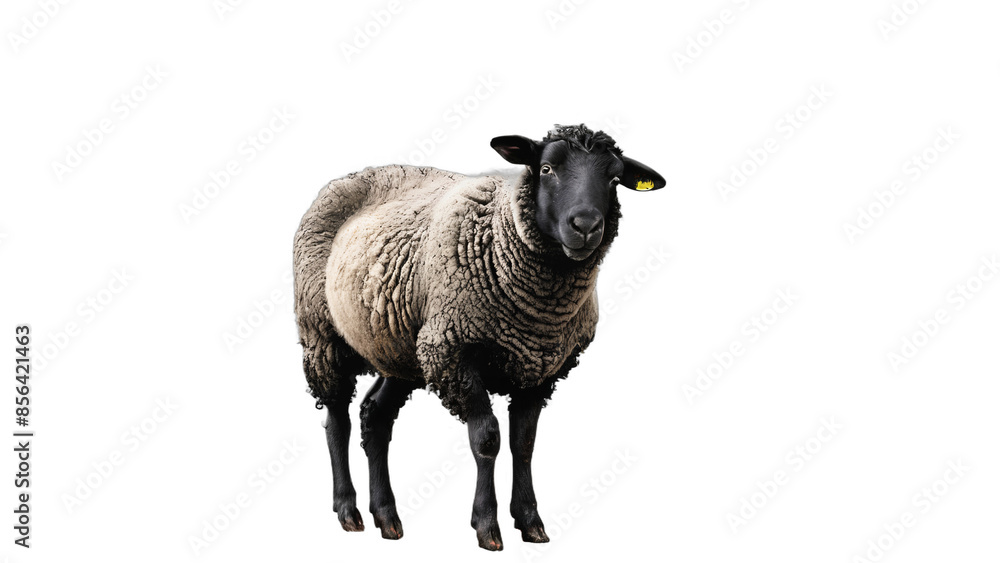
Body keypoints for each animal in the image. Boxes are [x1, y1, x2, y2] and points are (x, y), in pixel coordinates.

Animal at [293, 123, 665, 550]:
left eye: (615, 179)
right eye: (547, 168)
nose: (586, 226)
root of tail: (352, 175)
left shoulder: (541, 369)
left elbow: (524, 443)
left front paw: (531, 521)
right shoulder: (454, 353)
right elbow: (487, 439)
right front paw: (487, 526)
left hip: (402, 349)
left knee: (375, 418)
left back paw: (386, 516)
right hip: (321, 335)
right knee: (336, 419)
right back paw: (348, 510)